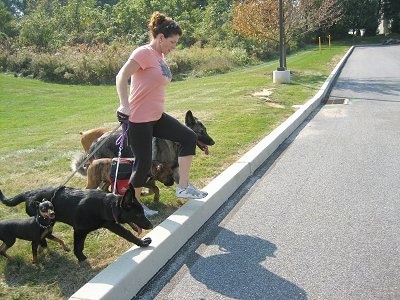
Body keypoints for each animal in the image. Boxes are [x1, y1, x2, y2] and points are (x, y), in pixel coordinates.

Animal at [0, 186, 153, 262]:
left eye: (142, 212)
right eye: (138, 215)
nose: (151, 226)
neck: (105, 206)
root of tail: (28, 193)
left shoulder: (111, 224)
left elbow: (128, 234)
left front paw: (142, 243)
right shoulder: (79, 230)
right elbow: (78, 246)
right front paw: (81, 259)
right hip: (44, 222)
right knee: (41, 237)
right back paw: (42, 249)